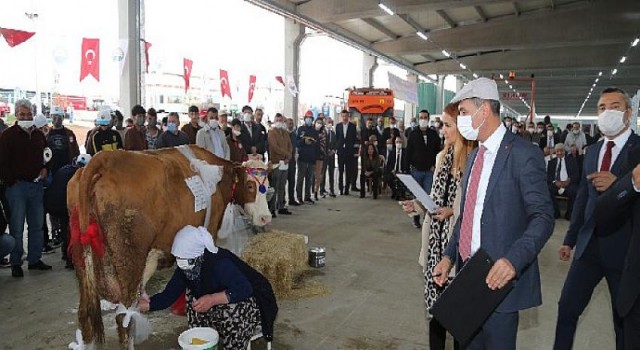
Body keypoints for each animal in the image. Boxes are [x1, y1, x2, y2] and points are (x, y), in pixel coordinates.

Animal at [67, 144, 270, 348]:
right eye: (250, 186)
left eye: (267, 187)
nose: (265, 218)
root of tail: (105, 159)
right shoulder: (209, 230)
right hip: (130, 260)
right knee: (124, 318)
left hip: (82, 262)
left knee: (85, 313)